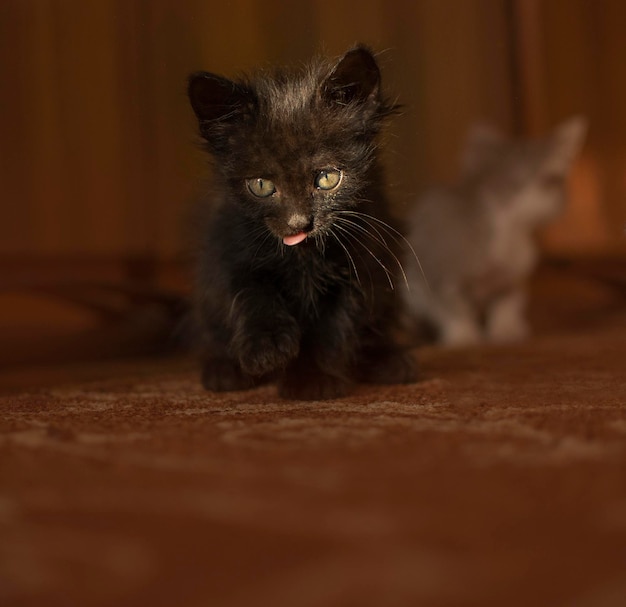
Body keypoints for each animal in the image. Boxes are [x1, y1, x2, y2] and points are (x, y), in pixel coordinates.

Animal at [188, 46, 416, 400]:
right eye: (261, 185)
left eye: (327, 178)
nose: (299, 223)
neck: (303, 257)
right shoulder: (228, 248)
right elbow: (249, 293)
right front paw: (265, 350)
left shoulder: (360, 269)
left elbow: (331, 330)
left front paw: (312, 379)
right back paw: (225, 371)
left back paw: (387, 362)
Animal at [402, 117, 588, 346]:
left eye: (553, 178)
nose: (548, 191)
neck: (507, 233)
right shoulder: (438, 270)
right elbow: (450, 304)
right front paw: (463, 335)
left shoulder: (512, 275)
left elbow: (508, 301)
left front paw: (505, 329)